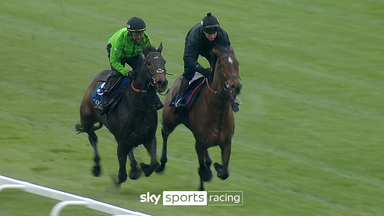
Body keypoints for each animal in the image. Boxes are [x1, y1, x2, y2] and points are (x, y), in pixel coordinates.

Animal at [76, 44, 167, 186]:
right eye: (148, 63)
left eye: (164, 62)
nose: (162, 82)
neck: (140, 106)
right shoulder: (122, 142)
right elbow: (122, 175)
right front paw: (121, 178)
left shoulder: (149, 137)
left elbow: (154, 163)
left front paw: (143, 167)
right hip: (87, 119)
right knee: (93, 138)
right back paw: (97, 167)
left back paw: (134, 168)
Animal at [155, 46, 240, 191]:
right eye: (222, 66)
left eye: (237, 64)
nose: (236, 86)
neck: (218, 111)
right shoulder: (199, 143)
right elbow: (202, 168)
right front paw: (206, 176)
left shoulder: (226, 142)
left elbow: (224, 173)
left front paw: (218, 167)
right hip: (169, 120)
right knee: (164, 133)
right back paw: (161, 164)